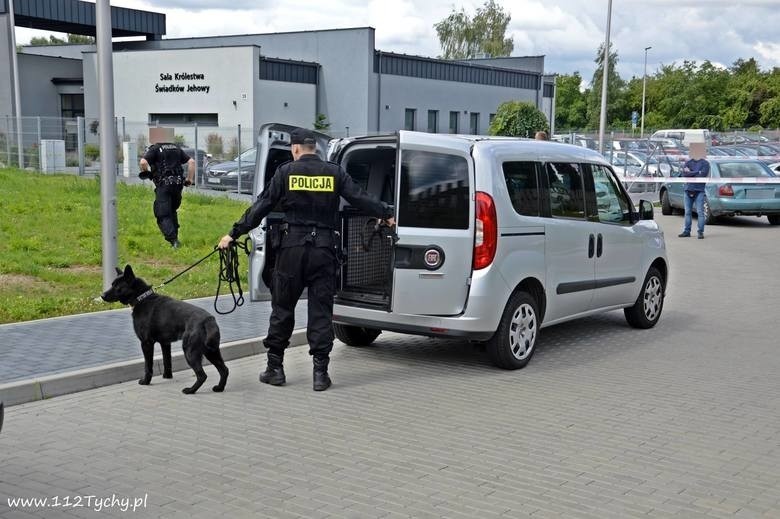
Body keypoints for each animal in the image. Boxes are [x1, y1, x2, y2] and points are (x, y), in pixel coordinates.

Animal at [102, 266, 227, 396]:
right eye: (112, 284)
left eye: (117, 286)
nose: (102, 295)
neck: (142, 298)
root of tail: (208, 320)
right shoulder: (165, 343)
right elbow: (167, 361)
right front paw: (167, 376)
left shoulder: (146, 343)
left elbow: (148, 366)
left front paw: (146, 381)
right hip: (211, 351)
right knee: (224, 370)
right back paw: (219, 388)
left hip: (190, 351)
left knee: (202, 375)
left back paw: (190, 390)